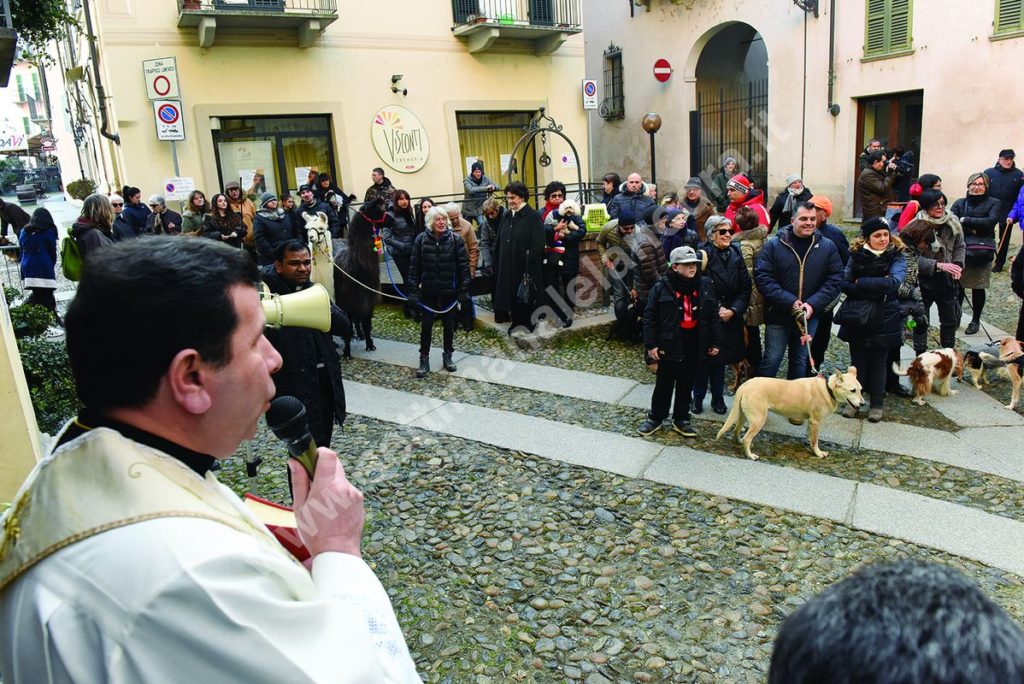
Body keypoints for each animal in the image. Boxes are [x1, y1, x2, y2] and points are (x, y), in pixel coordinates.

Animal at [716, 368, 868, 458]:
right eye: (853, 390)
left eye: (861, 390)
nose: (863, 404)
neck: (827, 389)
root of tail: (745, 385)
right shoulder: (816, 421)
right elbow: (815, 441)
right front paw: (818, 453)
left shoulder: (811, 421)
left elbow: (810, 436)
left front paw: (809, 443)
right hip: (758, 420)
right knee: (747, 438)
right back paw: (750, 455)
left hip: (743, 415)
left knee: (736, 430)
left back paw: (739, 441)